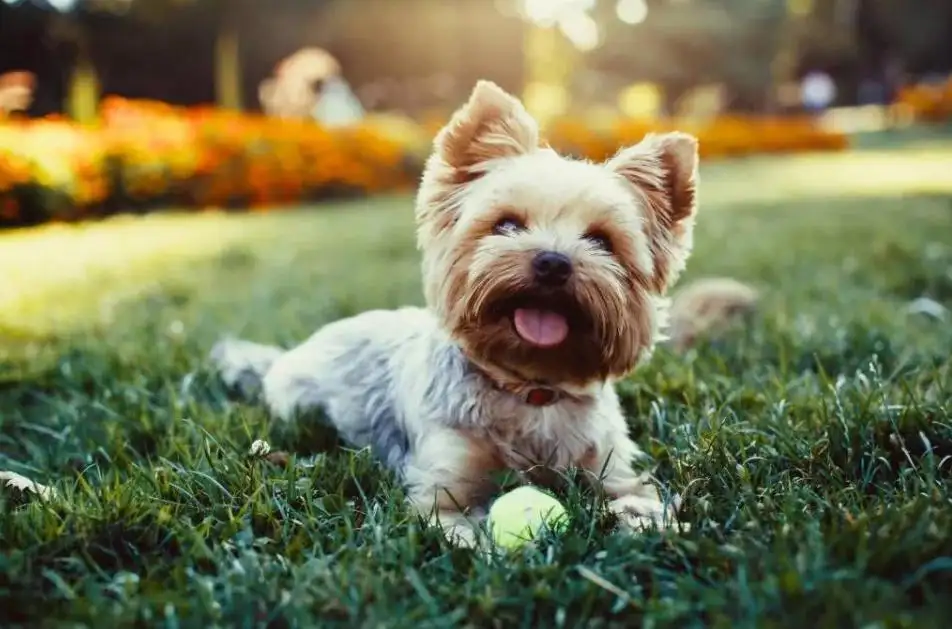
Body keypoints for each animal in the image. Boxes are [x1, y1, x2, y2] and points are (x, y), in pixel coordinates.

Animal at [210, 81, 700, 544]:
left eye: (602, 241)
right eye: (506, 224)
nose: (553, 262)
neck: (530, 388)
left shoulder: (611, 466)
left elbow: (637, 497)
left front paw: (648, 524)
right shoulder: (444, 485)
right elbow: (461, 527)